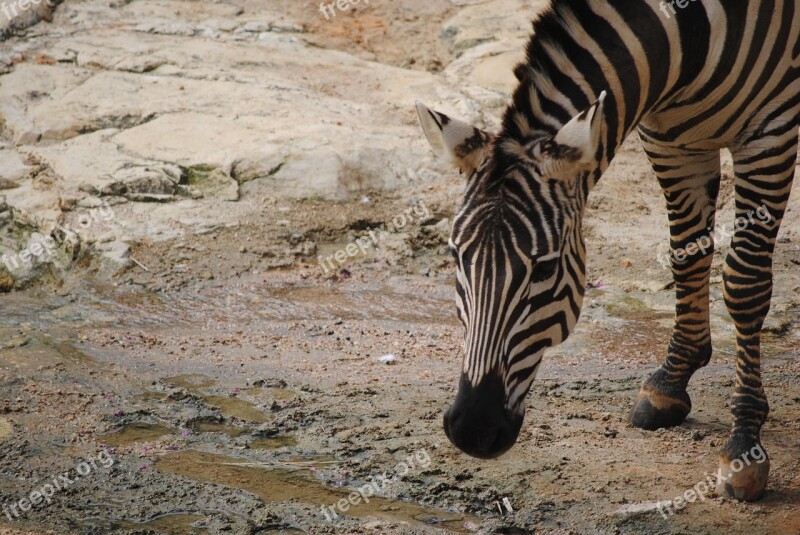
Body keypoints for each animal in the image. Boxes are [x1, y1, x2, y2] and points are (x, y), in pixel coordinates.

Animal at [418, 0, 800, 502]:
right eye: (455, 257)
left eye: (544, 268)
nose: (471, 430)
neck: (688, 35)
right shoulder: (669, 140)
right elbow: (686, 254)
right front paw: (671, 382)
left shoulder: (771, 132)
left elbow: (745, 283)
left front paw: (744, 447)